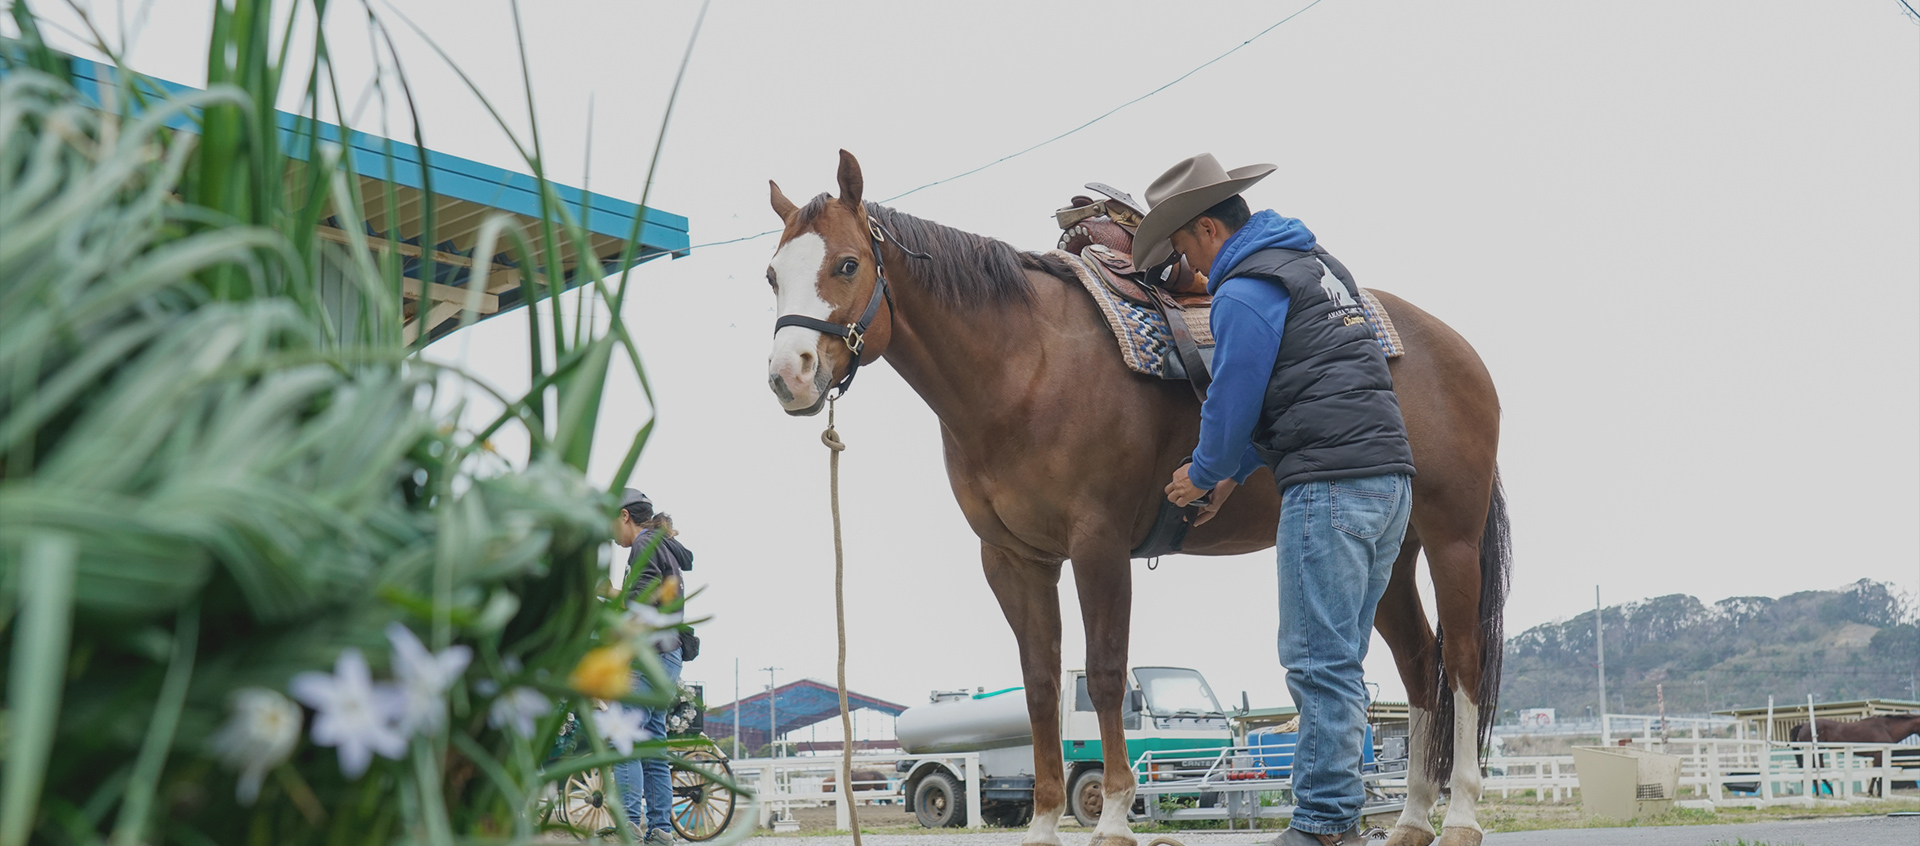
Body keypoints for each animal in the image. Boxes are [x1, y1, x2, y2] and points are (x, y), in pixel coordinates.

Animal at [756, 151, 1505, 844]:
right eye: (771, 275)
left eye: (847, 265)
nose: (788, 376)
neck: (1024, 367)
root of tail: (1457, 350)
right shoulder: (1012, 559)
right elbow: (1042, 686)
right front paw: (1043, 823)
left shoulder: (1099, 545)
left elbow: (1107, 675)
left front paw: (1114, 816)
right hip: (1391, 552)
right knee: (1419, 666)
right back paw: (1411, 818)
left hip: (1451, 539)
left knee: (1463, 661)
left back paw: (1462, 814)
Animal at [1781, 709, 1920, 794]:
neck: (1886, 728)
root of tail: (1804, 725)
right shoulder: (1879, 755)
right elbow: (1876, 775)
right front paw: (1872, 793)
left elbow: (1879, 774)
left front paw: (1879, 793)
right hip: (1817, 751)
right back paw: (1831, 792)